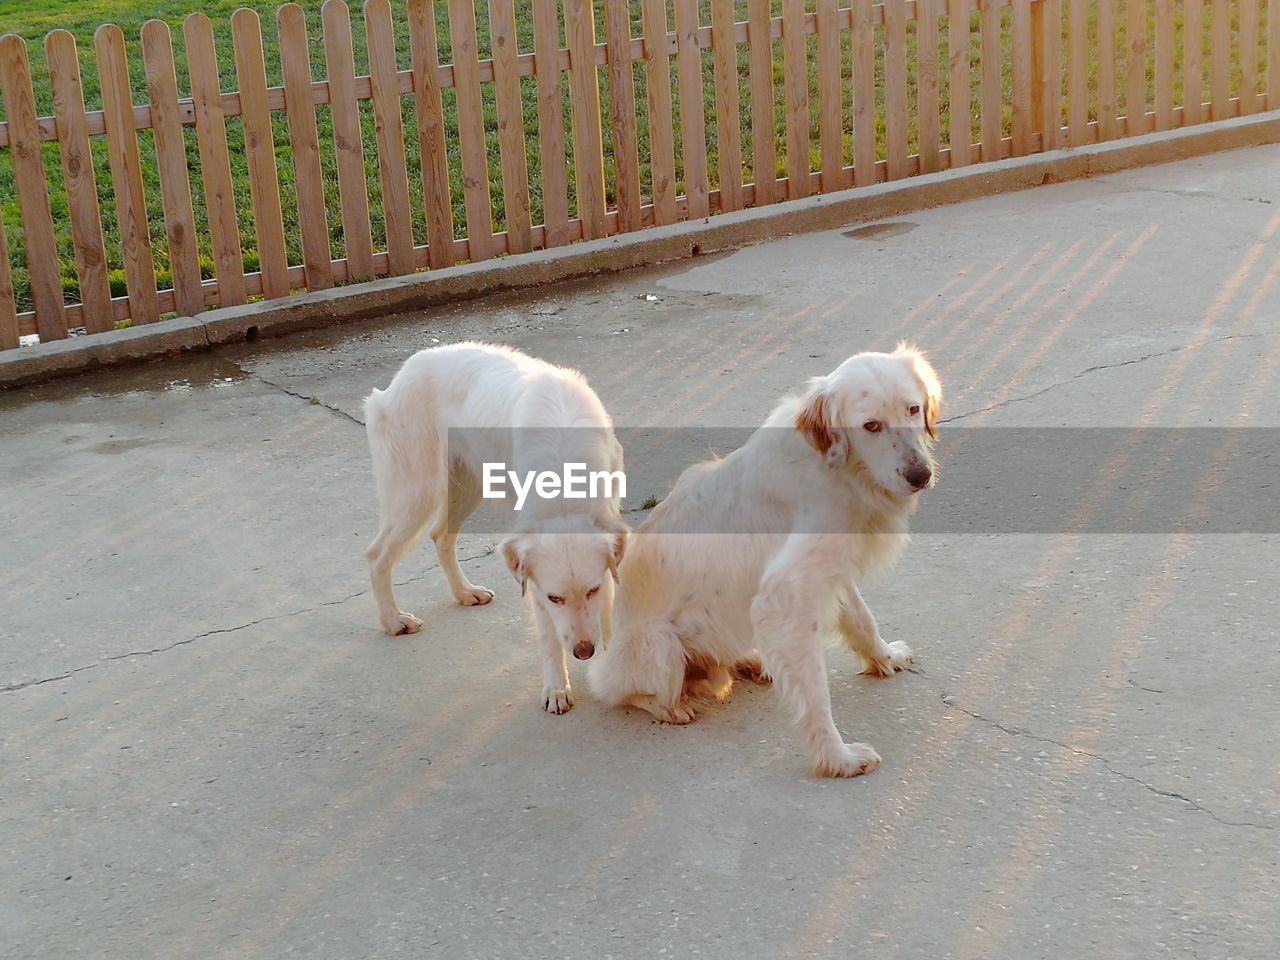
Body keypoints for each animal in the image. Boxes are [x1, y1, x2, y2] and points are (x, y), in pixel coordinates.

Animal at [363, 343, 627, 716]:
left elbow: (606, 609)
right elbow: (549, 637)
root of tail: (398, 378)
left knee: (440, 536)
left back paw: (464, 592)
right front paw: (557, 688)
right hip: (417, 494)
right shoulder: (535, 579)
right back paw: (393, 620)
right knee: (377, 555)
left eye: (591, 591)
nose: (583, 651)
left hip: (466, 487)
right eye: (555, 598)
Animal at [588, 350, 942, 778]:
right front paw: (838, 758)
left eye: (913, 408)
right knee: (622, 692)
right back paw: (671, 706)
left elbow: (862, 618)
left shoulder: (832, 569)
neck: (839, 469)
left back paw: (752, 662)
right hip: (660, 647)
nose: (921, 475)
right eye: (870, 425)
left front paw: (886, 657)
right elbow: (816, 690)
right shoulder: (786, 596)